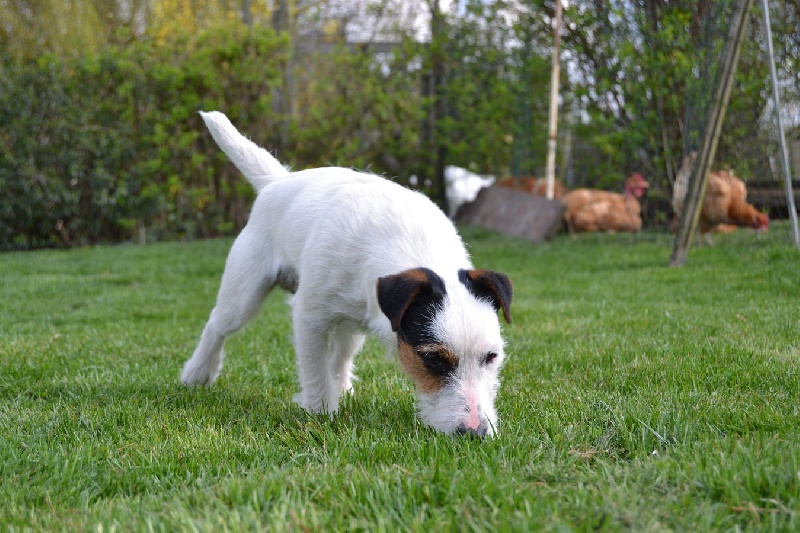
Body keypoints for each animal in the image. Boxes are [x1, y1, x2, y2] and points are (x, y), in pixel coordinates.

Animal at [181, 111, 512, 436]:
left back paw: (342, 389)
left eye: (491, 357)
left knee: (340, 356)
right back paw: (198, 373)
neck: (412, 244)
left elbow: (332, 363)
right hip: (244, 292)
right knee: (218, 324)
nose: (476, 433)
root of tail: (278, 181)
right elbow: (314, 371)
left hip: (349, 320)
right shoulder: (309, 317)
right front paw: (319, 415)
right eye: (433, 358)